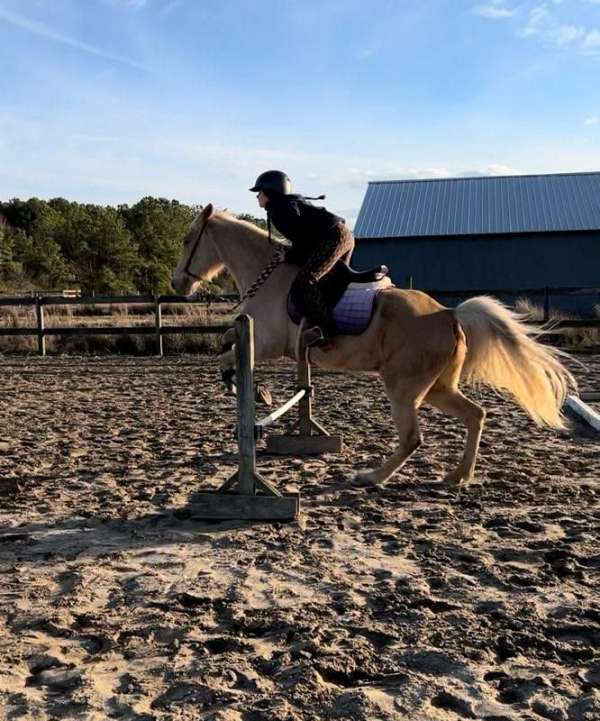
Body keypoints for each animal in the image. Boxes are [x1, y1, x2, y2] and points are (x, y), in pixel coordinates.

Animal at [171, 205, 576, 486]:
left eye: (188, 241)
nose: (177, 284)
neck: (265, 276)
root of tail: (448, 314)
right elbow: (228, 347)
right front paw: (245, 388)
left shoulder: (268, 342)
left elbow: (227, 352)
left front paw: (255, 391)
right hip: (437, 387)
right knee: (476, 415)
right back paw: (457, 476)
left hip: (403, 387)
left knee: (413, 438)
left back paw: (371, 478)